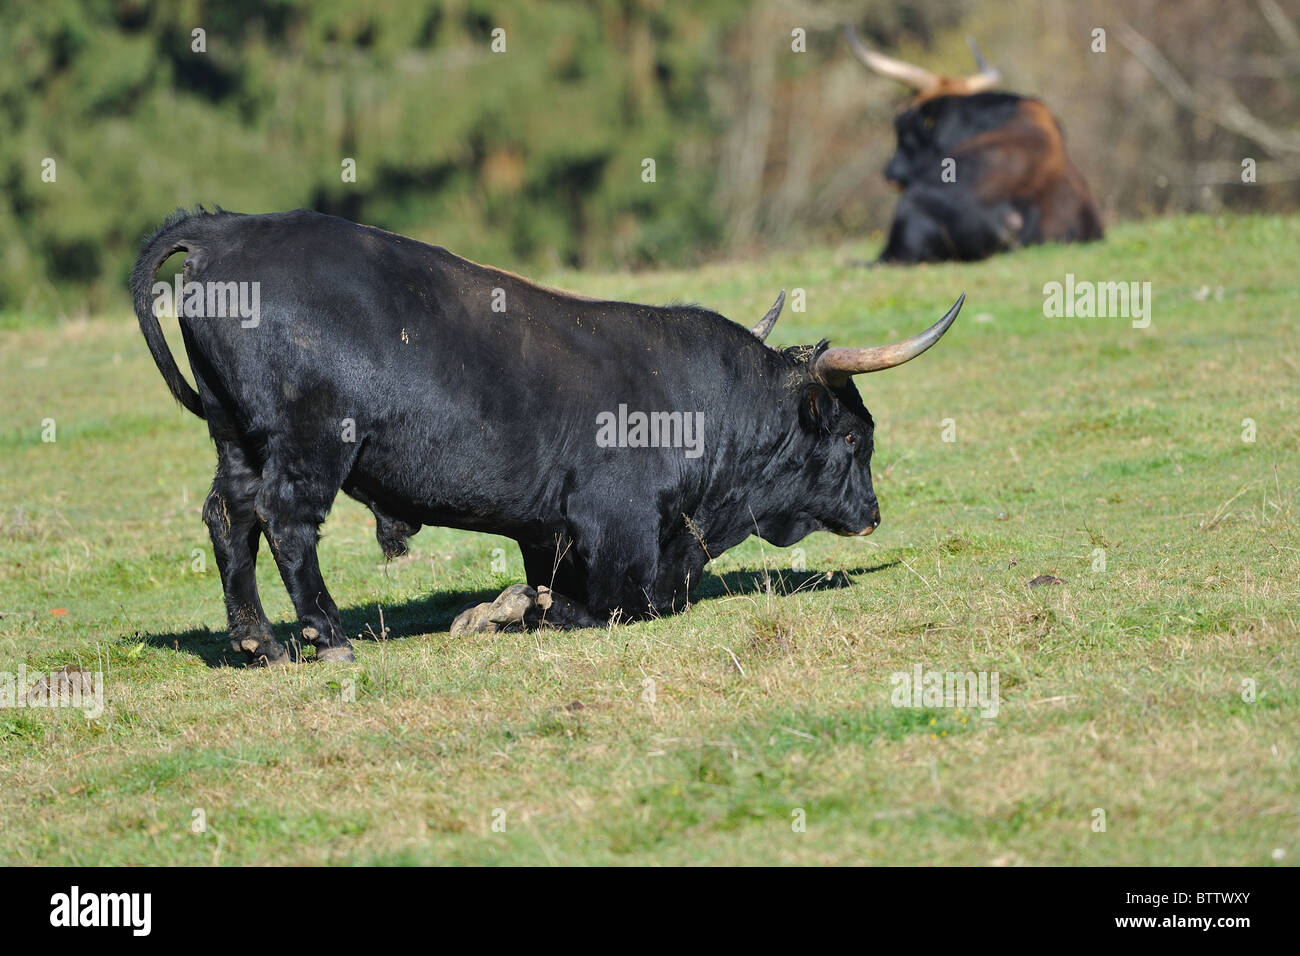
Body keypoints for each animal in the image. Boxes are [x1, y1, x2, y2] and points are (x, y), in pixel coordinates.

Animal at [134, 205, 967, 660]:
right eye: (855, 437)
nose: (873, 514)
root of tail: (228, 230)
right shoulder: (619, 539)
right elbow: (606, 606)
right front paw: (506, 611)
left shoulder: (549, 533)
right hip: (309, 445)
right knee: (285, 522)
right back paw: (327, 636)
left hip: (236, 438)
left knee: (229, 517)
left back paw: (259, 642)